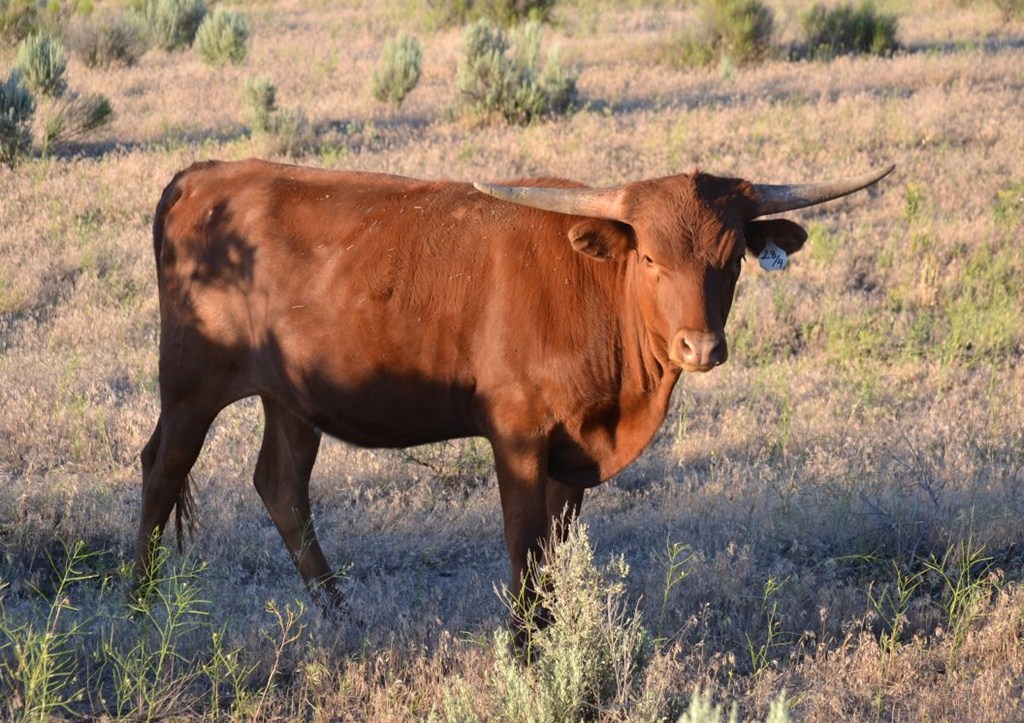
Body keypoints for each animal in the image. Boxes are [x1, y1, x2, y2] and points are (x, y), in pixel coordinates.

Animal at [137, 158, 892, 616]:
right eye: (651, 257)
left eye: (732, 258)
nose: (700, 347)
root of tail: (203, 174)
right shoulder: (519, 438)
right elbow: (523, 546)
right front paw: (527, 649)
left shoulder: (573, 451)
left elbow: (554, 549)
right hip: (190, 380)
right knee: (163, 466)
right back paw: (140, 601)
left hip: (291, 396)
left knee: (282, 485)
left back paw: (339, 611)